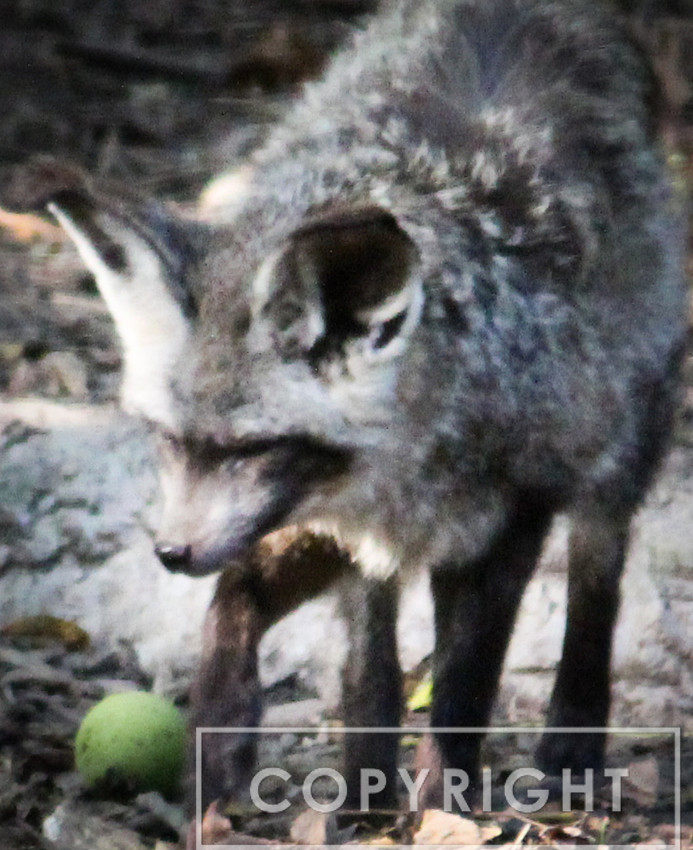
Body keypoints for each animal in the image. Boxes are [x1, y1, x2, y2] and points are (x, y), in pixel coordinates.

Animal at [3, 0, 688, 822]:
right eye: (169, 440)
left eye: (252, 447)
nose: (171, 553)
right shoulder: (341, 530)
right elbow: (354, 669)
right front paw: (336, 791)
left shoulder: (510, 517)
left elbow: (462, 688)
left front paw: (439, 809)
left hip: (613, 453)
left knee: (596, 584)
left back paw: (571, 742)